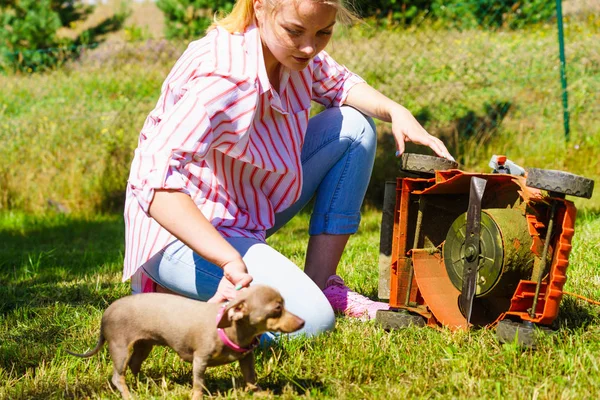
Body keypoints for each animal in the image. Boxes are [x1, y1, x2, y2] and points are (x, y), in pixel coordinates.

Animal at [67, 284, 304, 400]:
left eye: (284, 305)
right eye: (277, 309)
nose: (302, 321)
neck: (232, 329)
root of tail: (106, 313)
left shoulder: (247, 357)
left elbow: (251, 378)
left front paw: (259, 392)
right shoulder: (200, 359)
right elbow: (198, 382)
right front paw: (197, 397)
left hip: (144, 345)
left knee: (134, 365)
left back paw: (146, 385)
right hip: (119, 347)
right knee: (118, 377)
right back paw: (129, 394)